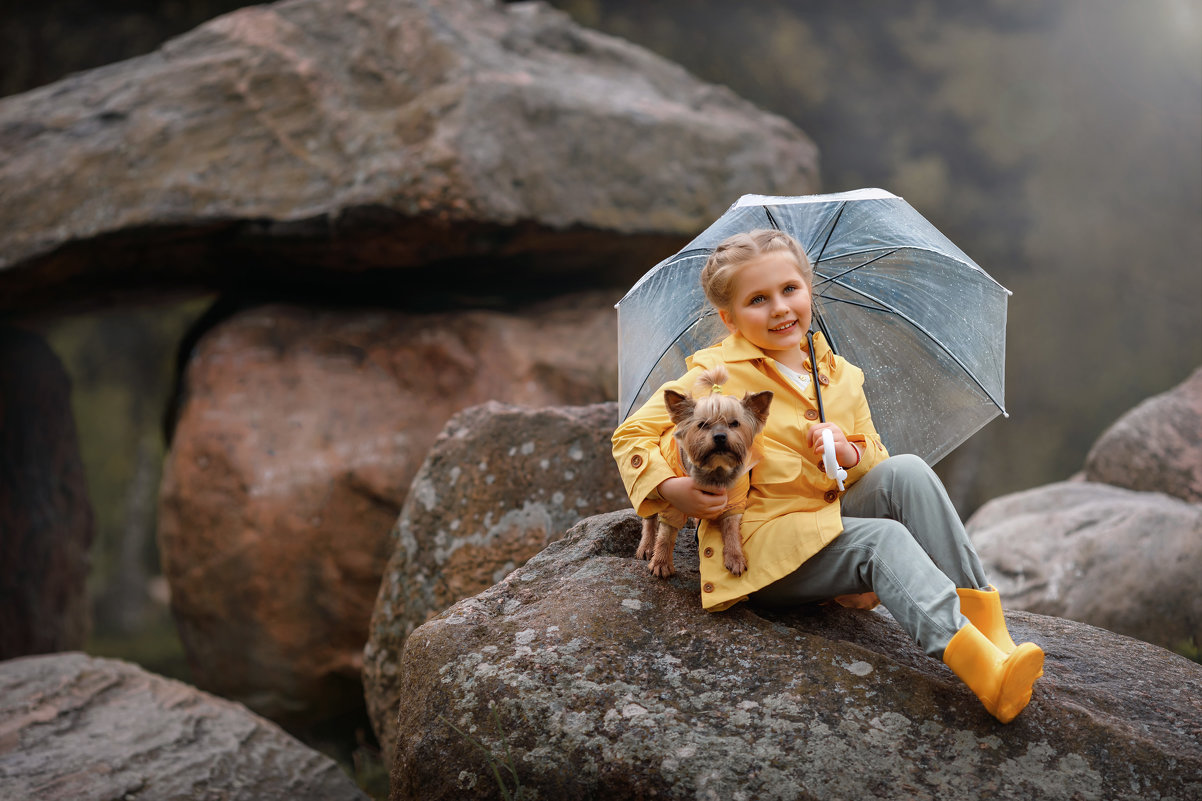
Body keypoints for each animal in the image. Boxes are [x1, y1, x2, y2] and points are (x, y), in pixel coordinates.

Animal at [634, 365, 774, 577]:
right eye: (702, 425)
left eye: (734, 423)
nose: (720, 436)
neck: (716, 469)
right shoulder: (676, 501)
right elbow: (666, 535)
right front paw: (661, 563)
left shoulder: (735, 500)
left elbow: (732, 529)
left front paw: (735, 557)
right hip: (651, 490)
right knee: (649, 520)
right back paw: (647, 547)